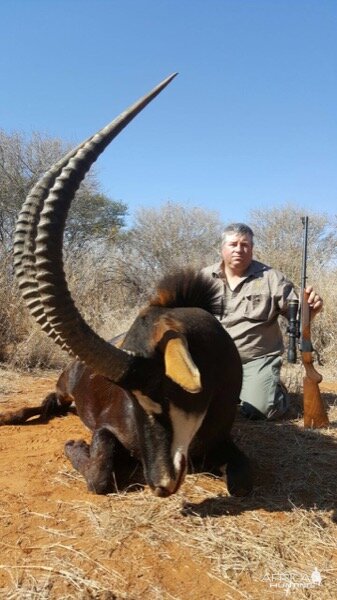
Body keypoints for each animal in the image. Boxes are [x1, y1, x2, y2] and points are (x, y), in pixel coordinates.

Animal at [1, 74, 251, 496]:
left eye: (161, 391)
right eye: (132, 399)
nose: (161, 483)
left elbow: (243, 480)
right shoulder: (107, 427)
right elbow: (101, 473)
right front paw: (74, 444)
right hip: (64, 388)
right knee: (49, 400)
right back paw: (13, 414)